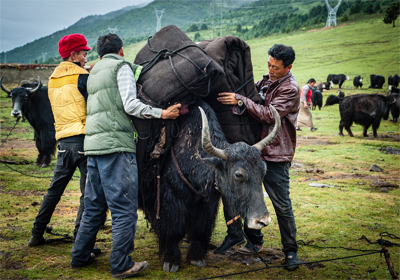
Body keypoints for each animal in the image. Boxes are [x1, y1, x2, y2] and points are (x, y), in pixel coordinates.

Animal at [140, 100, 278, 272]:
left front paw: (196, 258)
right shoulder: (170, 199)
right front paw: (171, 261)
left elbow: (200, 229)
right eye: (238, 175)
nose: (263, 220)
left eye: (263, 170)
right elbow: (173, 229)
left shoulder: (206, 203)